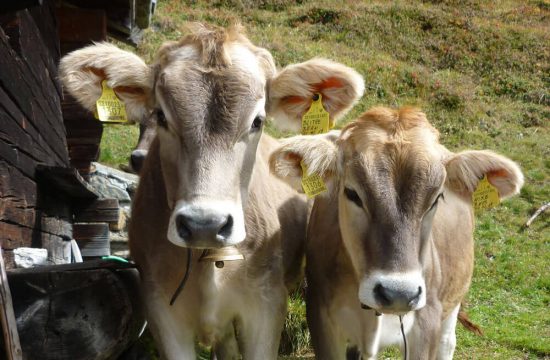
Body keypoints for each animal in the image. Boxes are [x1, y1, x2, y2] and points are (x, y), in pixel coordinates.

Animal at [272, 107, 528, 360]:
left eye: (437, 198)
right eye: (352, 193)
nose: (398, 294)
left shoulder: (426, 324)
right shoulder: (322, 318)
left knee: (448, 342)